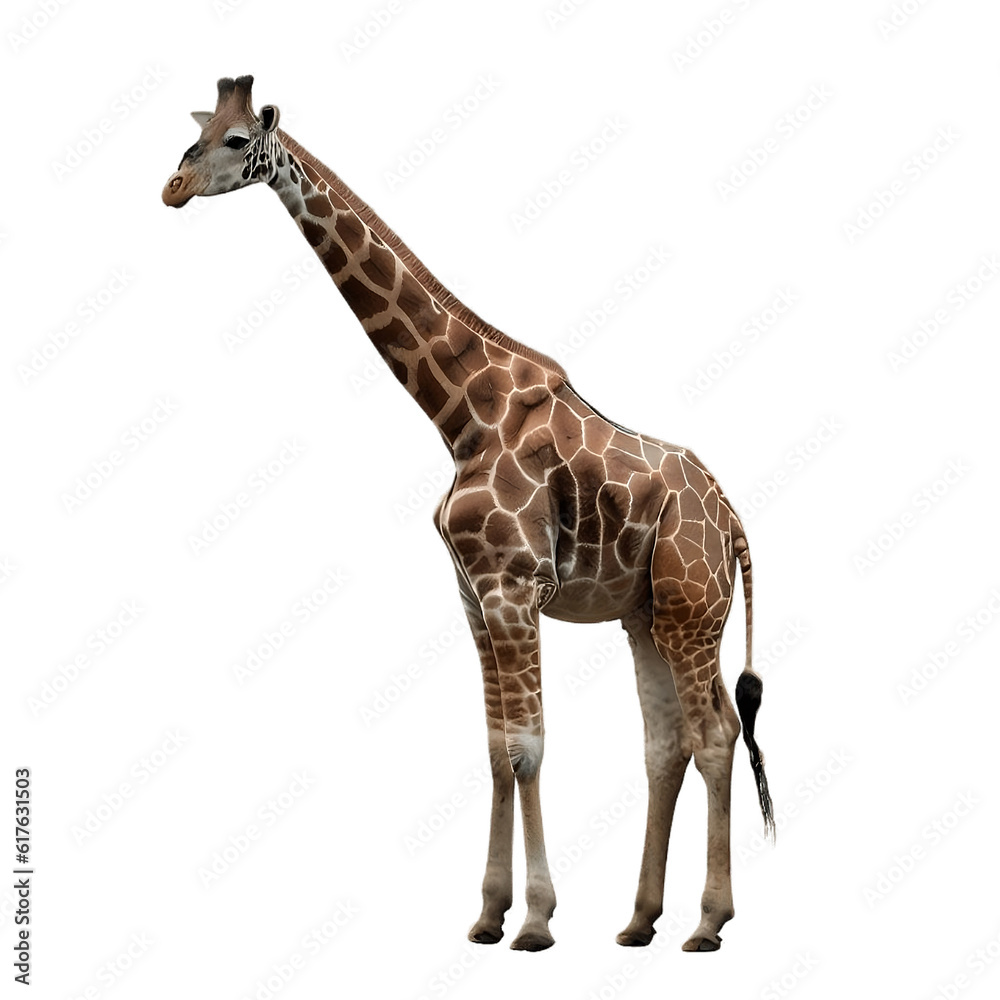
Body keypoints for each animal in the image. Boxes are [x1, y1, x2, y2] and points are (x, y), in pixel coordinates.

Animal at [162, 76, 774, 953]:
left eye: (238, 140)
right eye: (199, 131)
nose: (172, 186)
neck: (460, 415)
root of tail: (730, 520)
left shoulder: (514, 589)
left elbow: (526, 748)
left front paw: (537, 922)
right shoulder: (473, 597)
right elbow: (492, 750)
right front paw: (489, 914)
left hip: (692, 610)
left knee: (715, 735)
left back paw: (707, 923)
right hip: (647, 613)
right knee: (666, 745)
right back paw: (639, 921)